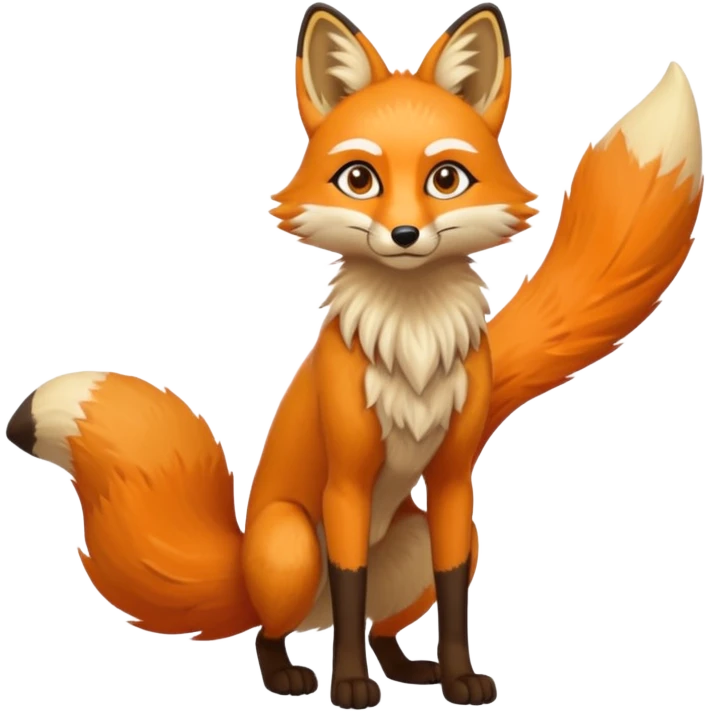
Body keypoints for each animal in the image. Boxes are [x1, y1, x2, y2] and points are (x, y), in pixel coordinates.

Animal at [4, 2, 704, 708]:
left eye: (445, 178)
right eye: (359, 179)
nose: (404, 234)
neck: (414, 345)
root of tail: (240, 567)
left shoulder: (453, 483)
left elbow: (453, 593)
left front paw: (459, 679)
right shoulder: (346, 482)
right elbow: (350, 582)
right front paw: (347, 687)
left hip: (415, 542)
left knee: (379, 628)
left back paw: (412, 670)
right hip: (290, 545)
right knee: (277, 630)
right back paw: (288, 675)